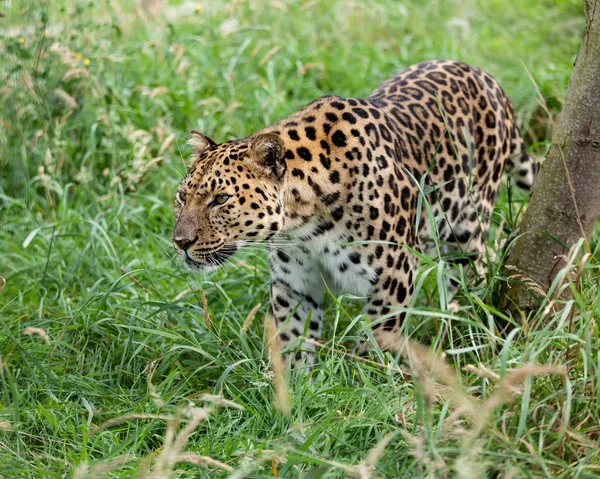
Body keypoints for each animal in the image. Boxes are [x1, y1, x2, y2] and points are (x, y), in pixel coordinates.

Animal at [171, 62, 536, 366]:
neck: (303, 224)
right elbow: (294, 339)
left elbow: (376, 338)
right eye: (182, 197)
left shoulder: (396, 274)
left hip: (467, 229)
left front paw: (368, 378)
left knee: (473, 273)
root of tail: (487, 78)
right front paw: (295, 392)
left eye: (220, 199)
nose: (180, 242)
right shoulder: (294, 283)